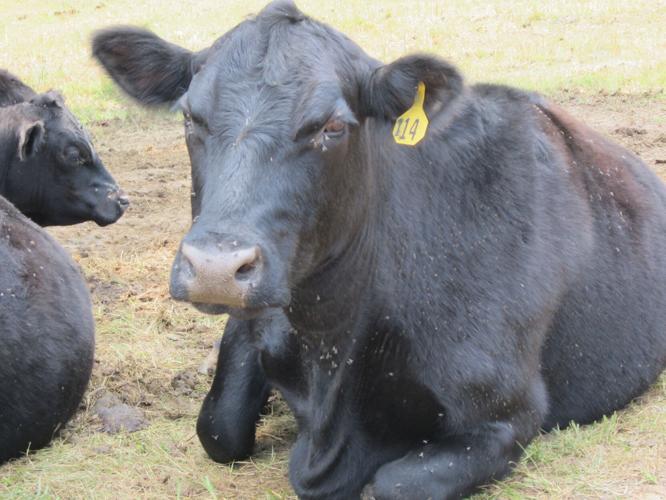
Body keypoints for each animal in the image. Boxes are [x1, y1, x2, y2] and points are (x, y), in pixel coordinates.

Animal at [92, 1, 666, 498]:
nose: (215, 267)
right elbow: (217, 428)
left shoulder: (507, 412)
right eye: (191, 118)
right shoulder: (257, 319)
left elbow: (392, 484)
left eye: (331, 127)